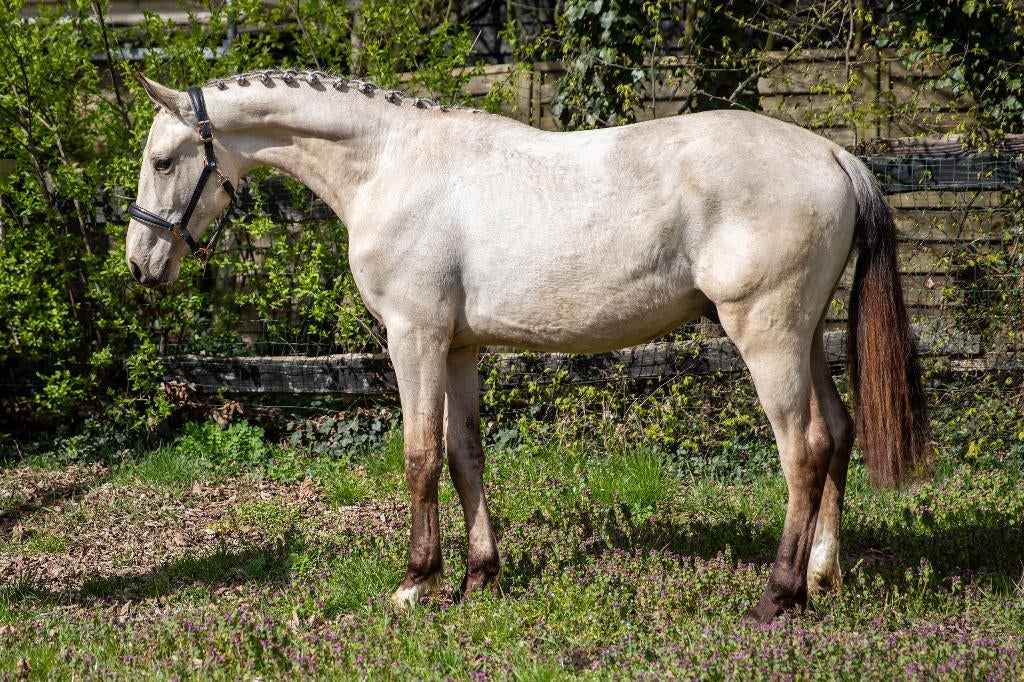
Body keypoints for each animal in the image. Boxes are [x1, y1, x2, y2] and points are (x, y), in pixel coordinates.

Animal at [125, 69, 930, 622]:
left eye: (163, 160)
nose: (141, 264)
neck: (391, 164)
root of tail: (831, 155)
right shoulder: (458, 348)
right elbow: (464, 456)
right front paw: (480, 575)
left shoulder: (414, 336)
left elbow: (419, 456)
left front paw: (417, 583)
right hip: (804, 336)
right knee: (838, 433)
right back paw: (822, 577)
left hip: (766, 334)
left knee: (803, 448)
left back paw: (777, 595)